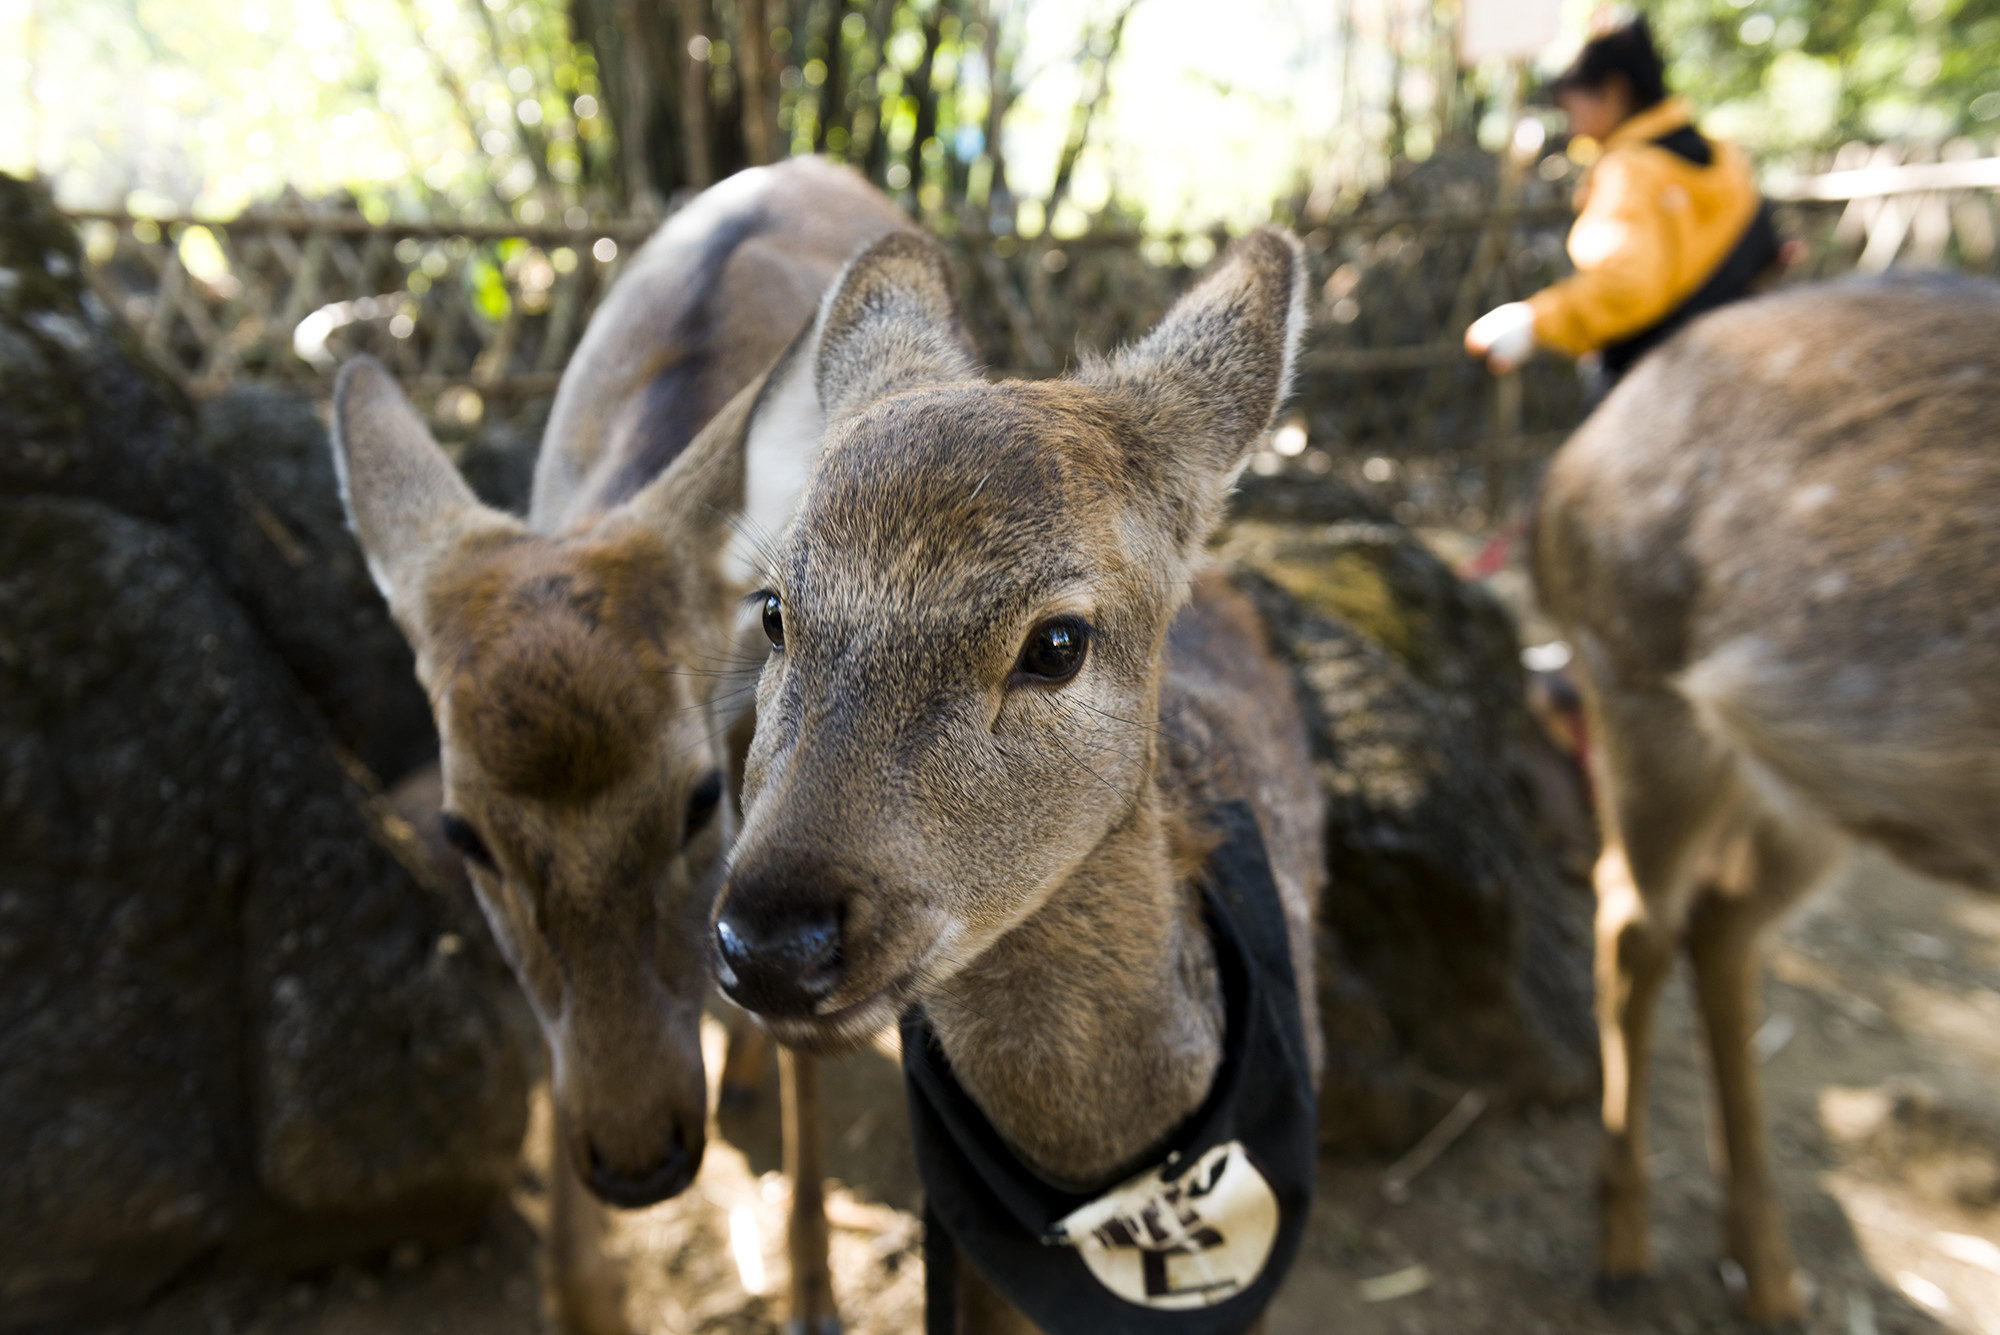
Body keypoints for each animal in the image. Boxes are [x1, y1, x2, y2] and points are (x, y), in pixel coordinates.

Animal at [1528, 273, 2000, 1327]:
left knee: (1718, 921)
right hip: (1644, 684)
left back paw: (1769, 1275)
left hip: (1815, 787)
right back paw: (1628, 1249)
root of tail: (1567, 461)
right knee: (1636, 915)